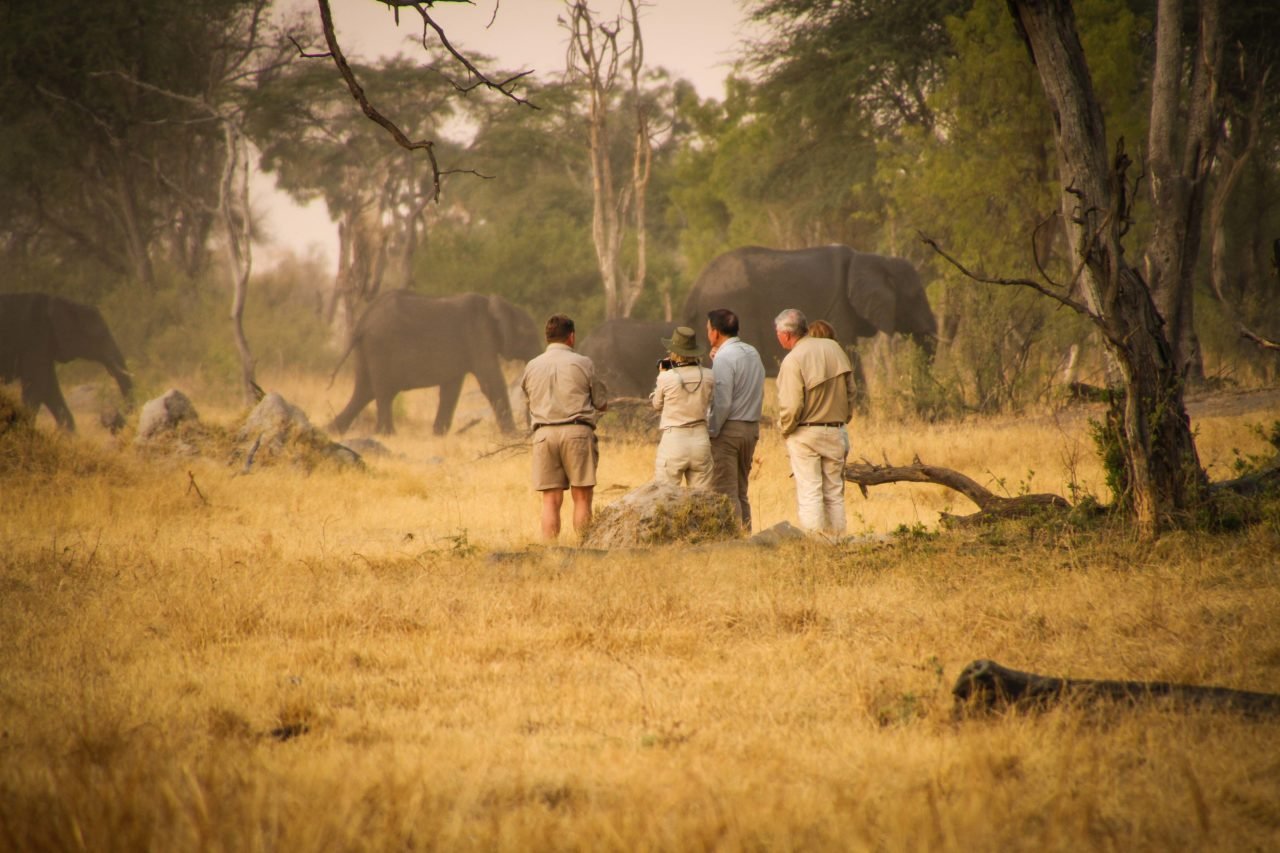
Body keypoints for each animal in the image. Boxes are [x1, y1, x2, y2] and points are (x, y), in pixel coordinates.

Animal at [327, 289, 542, 435]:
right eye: (529, 335)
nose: (530, 429)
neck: (496, 304)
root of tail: (363, 320)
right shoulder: (479, 336)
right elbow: (492, 383)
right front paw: (512, 436)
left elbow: (451, 389)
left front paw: (438, 434)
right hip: (380, 346)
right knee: (383, 392)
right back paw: (386, 434)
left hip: (367, 349)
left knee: (364, 392)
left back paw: (331, 430)